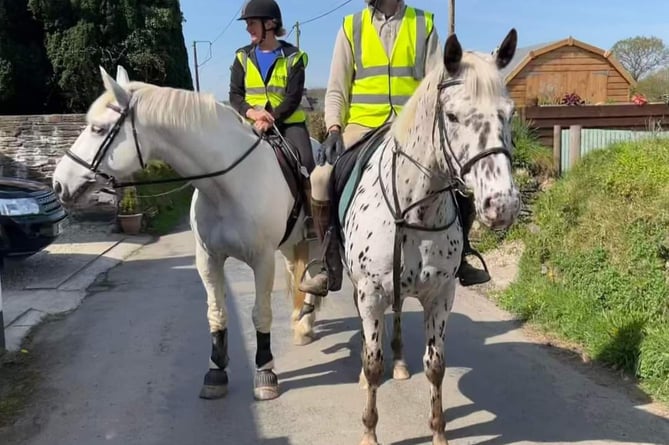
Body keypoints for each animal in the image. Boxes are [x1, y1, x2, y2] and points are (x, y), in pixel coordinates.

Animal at [49, 65, 324, 398]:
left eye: (99, 129)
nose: (58, 184)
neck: (227, 185)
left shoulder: (262, 260)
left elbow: (261, 312)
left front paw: (265, 372)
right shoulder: (208, 259)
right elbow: (216, 312)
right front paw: (216, 370)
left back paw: (305, 322)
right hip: (287, 243)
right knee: (297, 273)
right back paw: (301, 323)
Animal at [340, 29, 520, 442]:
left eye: (509, 113)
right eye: (452, 115)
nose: (502, 205)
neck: (414, 211)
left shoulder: (440, 295)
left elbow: (436, 366)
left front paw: (439, 432)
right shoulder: (370, 293)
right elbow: (372, 363)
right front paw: (369, 431)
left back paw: (401, 363)